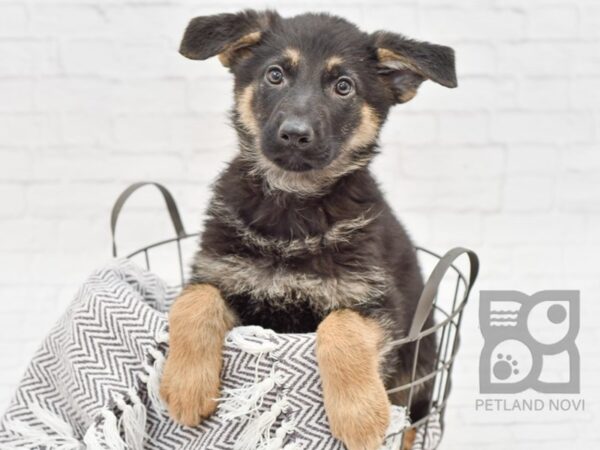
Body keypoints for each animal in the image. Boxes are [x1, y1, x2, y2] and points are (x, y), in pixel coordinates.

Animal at [159, 9, 454, 450]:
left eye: (343, 86)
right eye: (275, 74)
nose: (295, 134)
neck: (292, 206)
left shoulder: (379, 306)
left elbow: (341, 325)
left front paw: (361, 416)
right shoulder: (221, 274)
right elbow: (194, 300)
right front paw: (185, 385)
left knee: (414, 424)